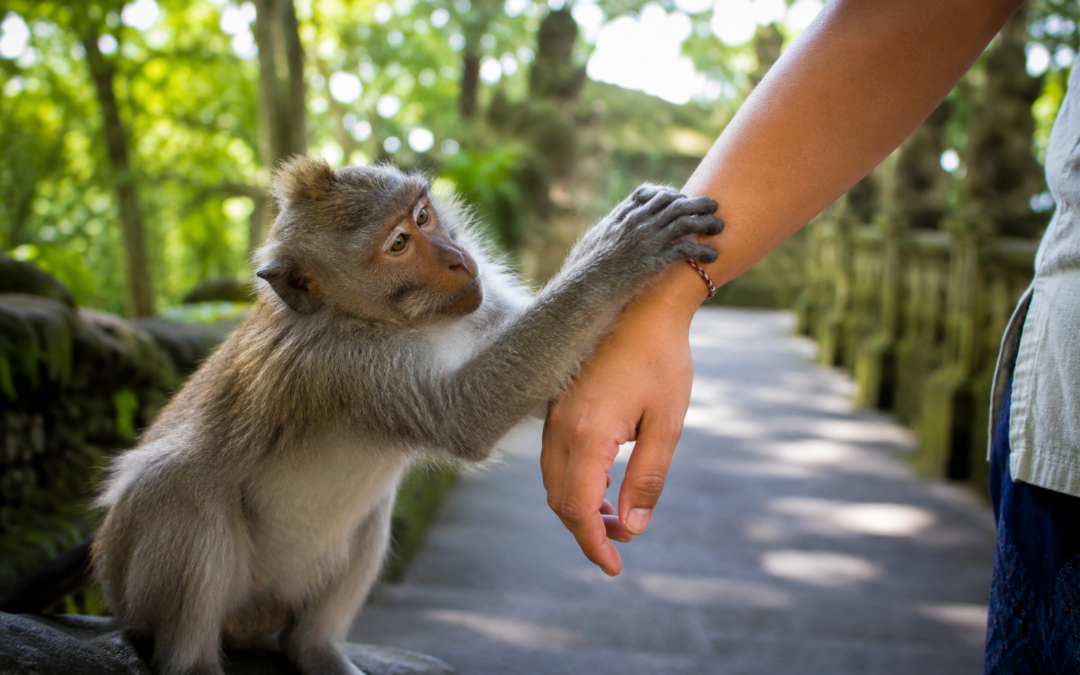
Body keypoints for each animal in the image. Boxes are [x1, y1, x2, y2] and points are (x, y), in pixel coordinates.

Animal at [90, 157, 723, 675]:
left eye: (423, 215)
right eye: (398, 244)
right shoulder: (343, 365)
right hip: (134, 581)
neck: (371, 321)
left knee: (368, 518)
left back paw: (315, 651)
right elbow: (467, 414)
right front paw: (619, 252)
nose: (456, 260)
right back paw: (192, 660)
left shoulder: (471, 304)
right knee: (181, 487)